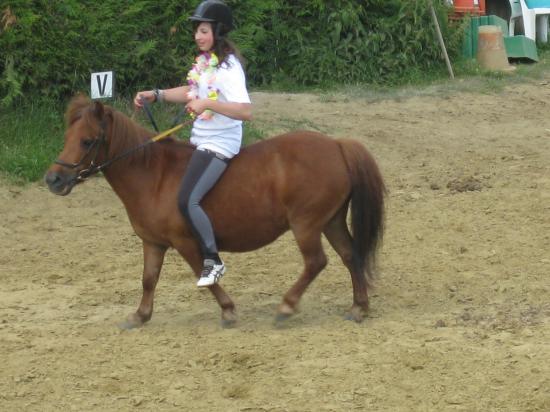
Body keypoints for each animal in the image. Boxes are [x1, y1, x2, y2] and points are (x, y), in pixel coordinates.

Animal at [45, 96, 386, 328]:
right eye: (66, 138)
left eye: (87, 141)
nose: (53, 179)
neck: (154, 175)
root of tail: (337, 145)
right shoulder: (153, 242)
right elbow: (148, 279)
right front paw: (140, 315)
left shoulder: (186, 242)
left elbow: (204, 274)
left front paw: (228, 310)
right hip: (330, 220)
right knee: (350, 255)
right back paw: (359, 307)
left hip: (306, 224)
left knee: (316, 262)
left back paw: (287, 307)